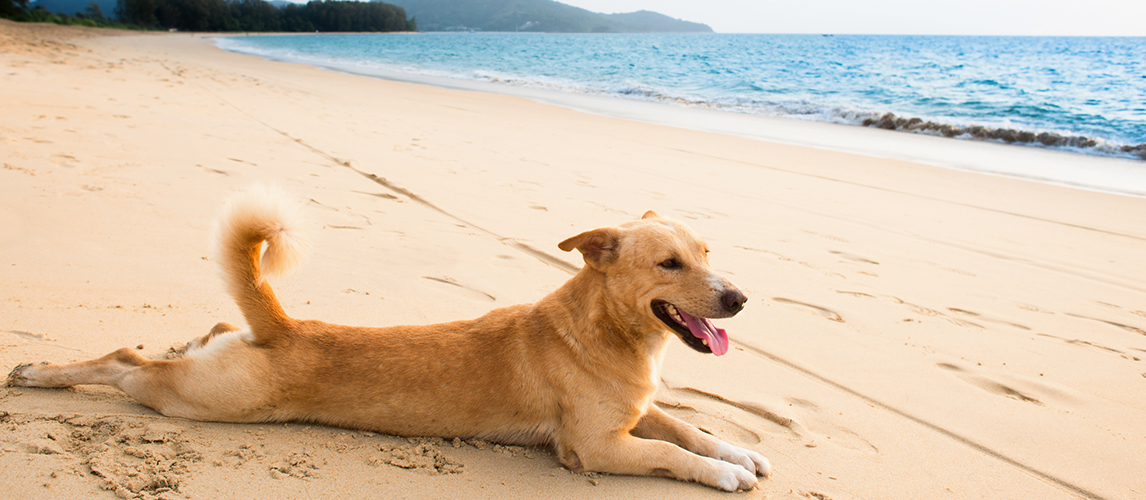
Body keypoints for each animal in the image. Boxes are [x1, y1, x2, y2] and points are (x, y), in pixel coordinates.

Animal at [8, 185, 770, 490]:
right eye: (669, 264)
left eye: (707, 251)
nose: (739, 298)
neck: (604, 330)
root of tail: (280, 325)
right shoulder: (598, 448)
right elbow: (671, 455)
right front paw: (724, 473)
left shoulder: (639, 412)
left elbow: (691, 430)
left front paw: (739, 452)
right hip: (202, 400)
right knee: (124, 362)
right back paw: (39, 373)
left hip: (211, 367)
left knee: (181, 341)